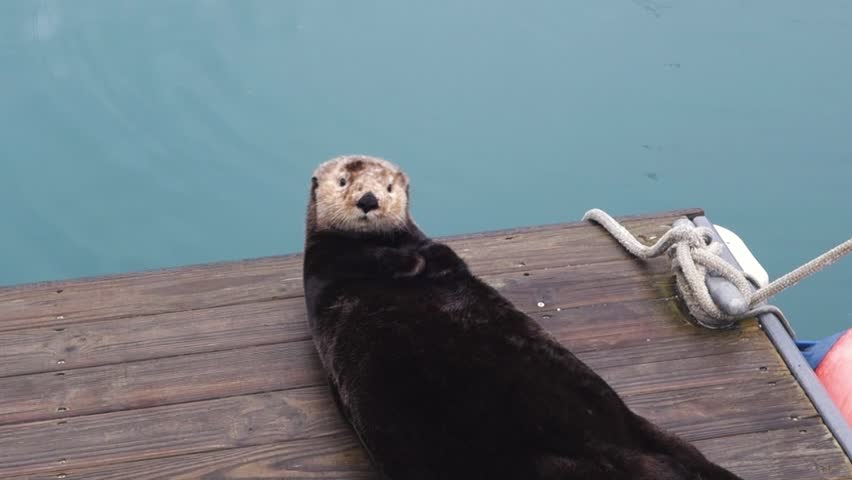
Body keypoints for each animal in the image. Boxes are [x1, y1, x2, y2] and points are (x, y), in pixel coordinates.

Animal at [302, 155, 743, 480]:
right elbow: (372, 262)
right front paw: (407, 261)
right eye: (343, 181)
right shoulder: (328, 263)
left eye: (390, 188)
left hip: (635, 429)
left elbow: (436, 255)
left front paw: (418, 258)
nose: (369, 200)